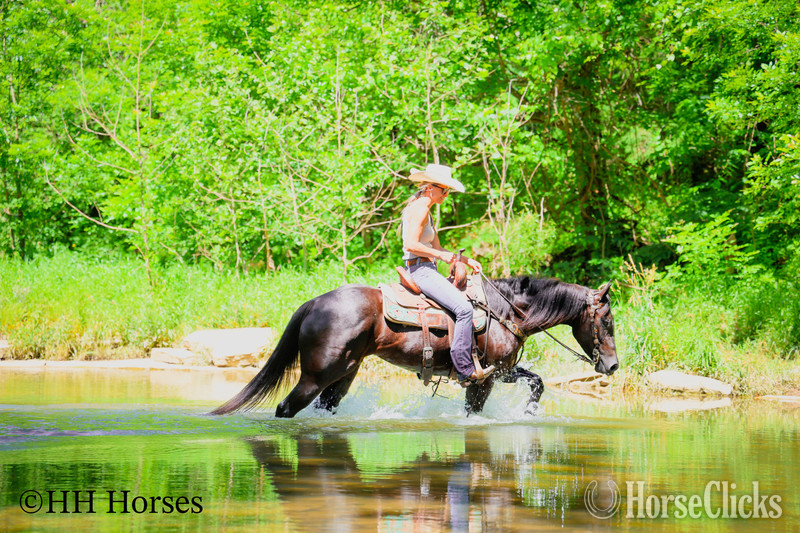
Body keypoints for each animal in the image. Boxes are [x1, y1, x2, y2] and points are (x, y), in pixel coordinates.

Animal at [211, 276, 618, 418]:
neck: (506, 312)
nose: (612, 366)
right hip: (315, 375)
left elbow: (537, 382)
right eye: (608, 321)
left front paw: (530, 412)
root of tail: (315, 303)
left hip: (343, 376)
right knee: (285, 408)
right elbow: (473, 413)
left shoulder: (501, 372)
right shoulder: (484, 379)